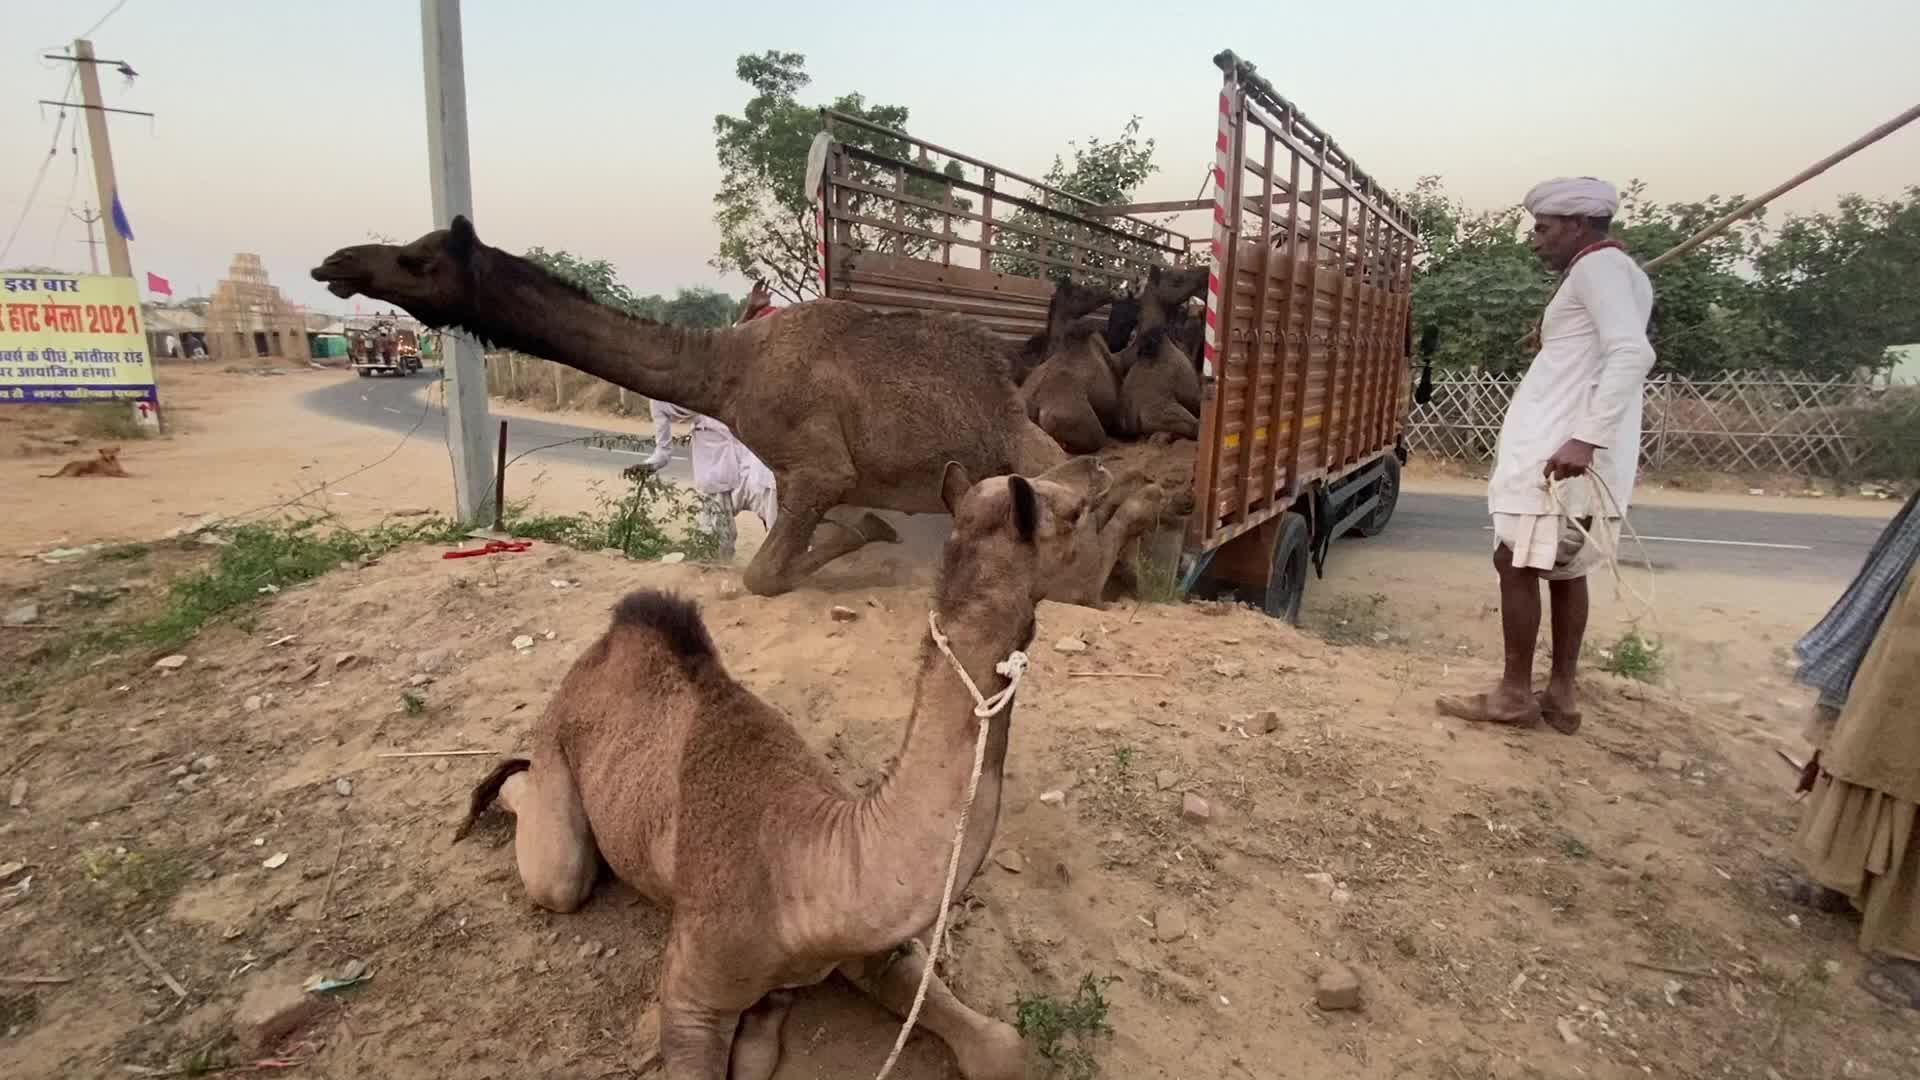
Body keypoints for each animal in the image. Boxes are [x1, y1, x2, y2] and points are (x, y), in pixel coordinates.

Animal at [312, 217, 1068, 597]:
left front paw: (861, 536)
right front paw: (867, 533)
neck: (727, 370)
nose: (334, 263)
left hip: (1027, 451)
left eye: (416, 260)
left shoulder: (818, 466)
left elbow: (763, 575)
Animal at [453, 459, 1106, 1079]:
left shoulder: (879, 946)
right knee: (555, 866)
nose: (1096, 467)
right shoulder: (691, 995)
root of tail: (597, 654)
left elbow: (1002, 1047)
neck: (807, 868)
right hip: (559, 761)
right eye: (1075, 513)